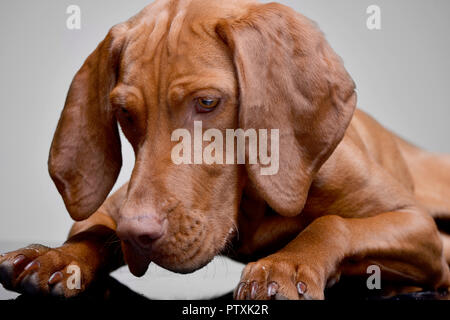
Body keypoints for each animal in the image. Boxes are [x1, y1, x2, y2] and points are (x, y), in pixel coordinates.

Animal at [0, 0, 450, 300]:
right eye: (124, 113)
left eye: (207, 102)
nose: (138, 234)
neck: (250, 204)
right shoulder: (117, 208)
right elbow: (94, 229)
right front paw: (56, 257)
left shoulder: (416, 224)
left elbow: (331, 223)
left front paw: (287, 264)